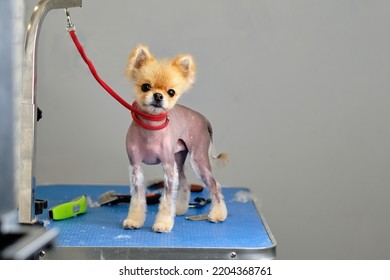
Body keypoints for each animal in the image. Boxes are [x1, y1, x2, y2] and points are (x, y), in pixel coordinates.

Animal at [122, 45, 225, 232]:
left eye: (171, 92)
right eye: (145, 86)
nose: (158, 96)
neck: (151, 128)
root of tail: (203, 118)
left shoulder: (168, 168)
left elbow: (167, 198)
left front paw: (163, 223)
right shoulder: (136, 167)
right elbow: (137, 198)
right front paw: (134, 220)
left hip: (198, 160)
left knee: (214, 185)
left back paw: (218, 214)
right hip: (179, 158)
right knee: (184, 184)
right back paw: (180, 209)